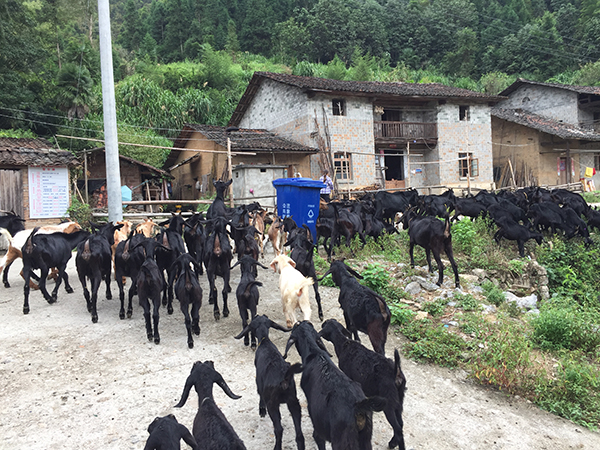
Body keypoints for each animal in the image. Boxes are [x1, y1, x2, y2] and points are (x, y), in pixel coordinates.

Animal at [232, 314, 302, 450]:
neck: (265, 341)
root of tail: (284, 378)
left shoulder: (259, 383)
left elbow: (260, 394)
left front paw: (261, 411)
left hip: (273, 404)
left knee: (279, 429)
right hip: (293, 401)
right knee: (299, 434)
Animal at [318, 318, 408, 448]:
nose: (323, 321)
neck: (344, 344)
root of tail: (396, 372)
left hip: (389, 404)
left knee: (397, 427)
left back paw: (393, 444)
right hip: (399, 401)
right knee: (401, 423)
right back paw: (394, 442)